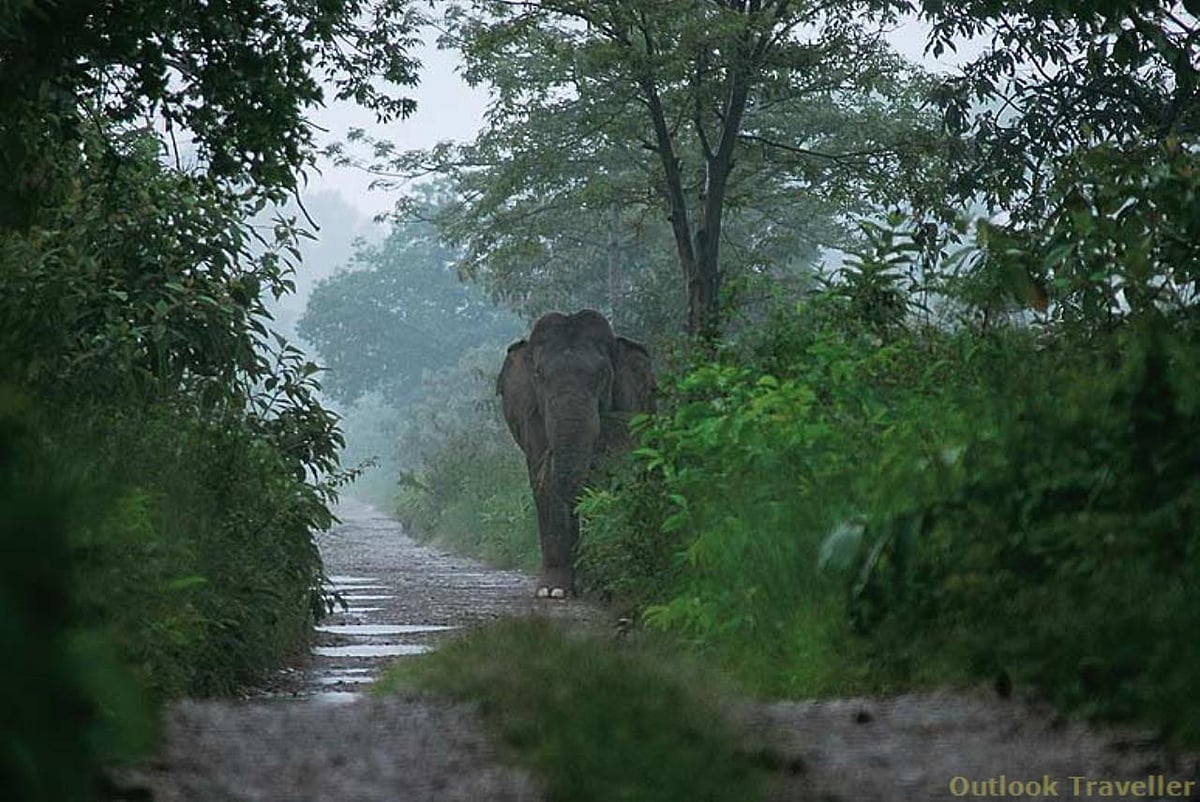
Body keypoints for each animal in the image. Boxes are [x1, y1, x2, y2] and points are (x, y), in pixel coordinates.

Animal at [497, 309, 656, 599]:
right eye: (538, 375)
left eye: (603, 374)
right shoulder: (531, 413)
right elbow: (544, 483)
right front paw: (553, 591)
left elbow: (607, 470)